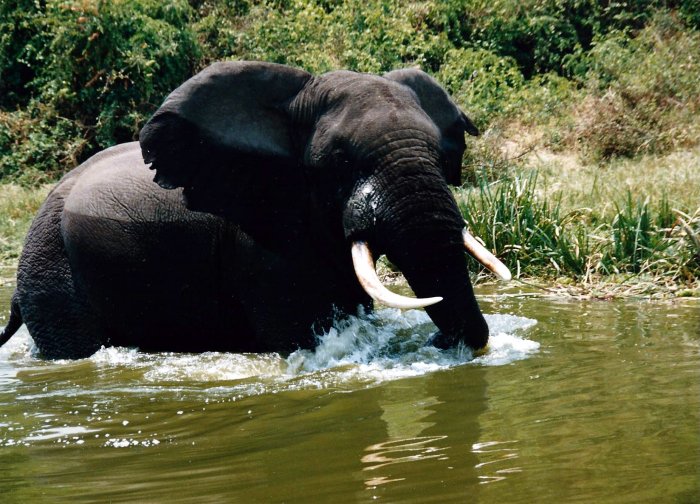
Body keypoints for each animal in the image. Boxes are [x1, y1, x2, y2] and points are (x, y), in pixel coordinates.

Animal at [0, 61, 508, 358]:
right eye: (339, 163)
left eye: (440, 156)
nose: (440, 340)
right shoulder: (258, 240)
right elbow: (294, 332)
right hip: (52, 272)